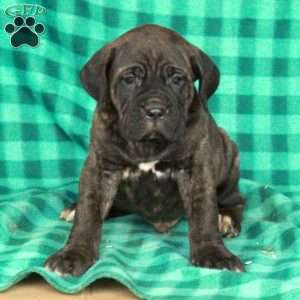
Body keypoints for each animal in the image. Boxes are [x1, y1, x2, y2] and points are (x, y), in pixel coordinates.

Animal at [45, 24, 246, 276]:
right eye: (130, 79)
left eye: (177, 79)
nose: (155, 110)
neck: (148, 144)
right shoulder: (99, 166)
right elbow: (89, 210)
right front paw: (74, 253)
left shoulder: (196, 168)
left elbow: (204, 212)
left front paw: (212, 253)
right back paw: (75, 208)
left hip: (229, 155)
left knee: (235, 198)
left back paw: (227, 217)